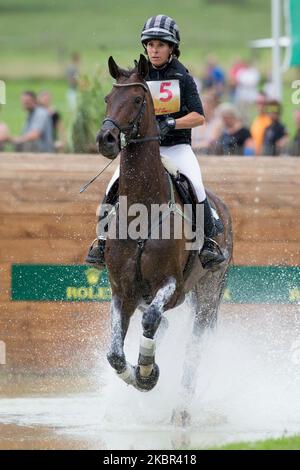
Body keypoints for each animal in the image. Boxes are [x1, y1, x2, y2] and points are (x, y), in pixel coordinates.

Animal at [96, 55, 232, 422]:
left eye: (137, 99)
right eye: (107, 98)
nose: (106, 139)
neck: (142, 212)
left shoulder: (171, 286)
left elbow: (151, 319)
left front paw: (147, 372)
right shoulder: (122, 291)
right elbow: (114, 353)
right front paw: (139, 374)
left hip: (208, 295)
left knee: (193, 348)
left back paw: (181, 409)